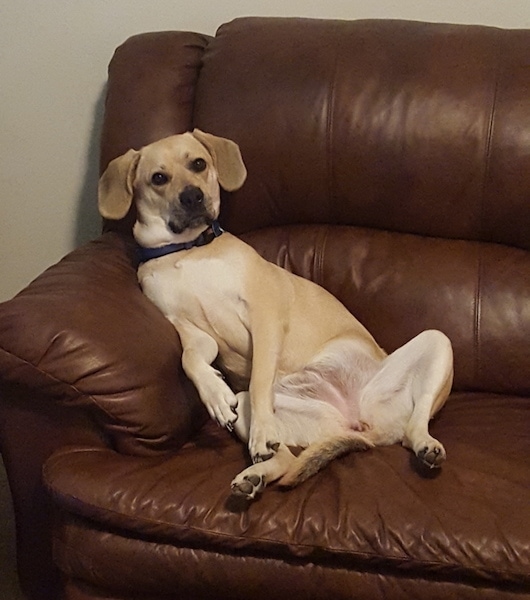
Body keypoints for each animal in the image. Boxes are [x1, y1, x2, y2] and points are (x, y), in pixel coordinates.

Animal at [97, 131, 452, 502]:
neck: (186, 251)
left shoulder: (262, 313)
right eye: (158, 178)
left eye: (198, 163)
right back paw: (254, 477)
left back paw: (427, 446)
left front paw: (258, 424)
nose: (193, 196)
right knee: (284, 458)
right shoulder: (191, 331)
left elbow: (259, 378)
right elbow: (190, 360)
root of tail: (364, 428)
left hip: (436, 344)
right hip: (258, 410)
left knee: (416, 425)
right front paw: (214, 394)